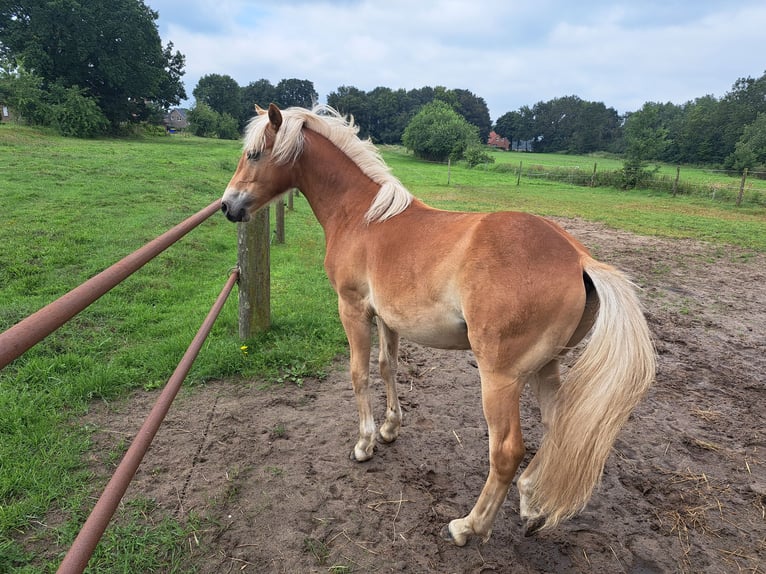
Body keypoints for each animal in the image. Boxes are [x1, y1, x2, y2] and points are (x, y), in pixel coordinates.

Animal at [219, 103, 656, 548]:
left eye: (254, 154)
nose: (227, 206)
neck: (362, 216)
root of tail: (578, 258)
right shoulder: (388, 318)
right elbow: (387, 368)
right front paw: (390, 428)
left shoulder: (353, 309)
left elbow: (359, 373)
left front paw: (365, 443)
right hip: (546, 367)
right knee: (557, 428)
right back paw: (532, 504)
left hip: (500, 378)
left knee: (507, 452)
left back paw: (469, 525)